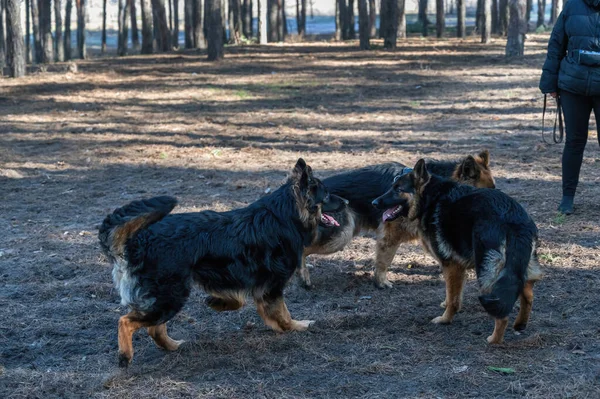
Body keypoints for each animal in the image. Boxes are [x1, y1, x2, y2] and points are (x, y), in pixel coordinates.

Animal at [97, 158, 342, 368]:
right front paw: (297, 326)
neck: (284, 215)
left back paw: (173, 346)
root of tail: (137, 240)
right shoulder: (271, 287)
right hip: (171, 296)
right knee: (126, 321)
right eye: (327, 194)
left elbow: (240, 302)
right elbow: (284, 314)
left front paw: (217, 302)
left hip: (169, 296)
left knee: (154, 330)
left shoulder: (237, 279)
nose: (347, 200)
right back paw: (125, 356)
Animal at [298, 152, 494, 290]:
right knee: (302, 249)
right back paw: (303, 277)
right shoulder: (390, 235)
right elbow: (384, 260)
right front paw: (381, 282)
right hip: (341, 234)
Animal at [372, 159, 540, 344]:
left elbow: (453, 298)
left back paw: (494, 340)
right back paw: (520, 324)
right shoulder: (455, 268)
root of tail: (512, 217)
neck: (430, 198)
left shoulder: (451, 264)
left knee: (502, 314)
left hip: (487, 273)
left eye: (398, 189)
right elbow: (452, 293)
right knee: (528, 296)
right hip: (520, 268)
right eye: (392, 186)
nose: (374, 203)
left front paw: (445, 319)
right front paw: (447, 307)